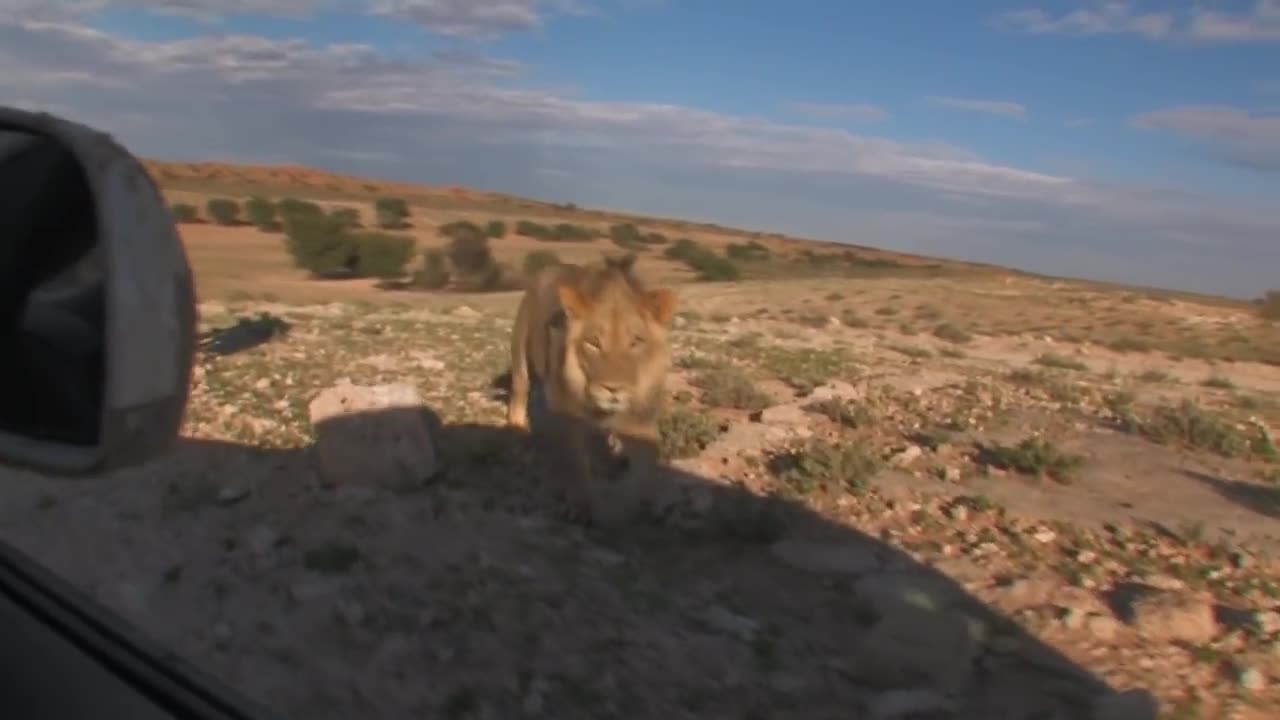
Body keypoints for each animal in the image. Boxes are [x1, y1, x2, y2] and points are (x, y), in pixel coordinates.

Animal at [506, 253, 680, 520]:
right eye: (593, 342)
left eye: (635, 342)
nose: (613, 389)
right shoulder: (567, 416)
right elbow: (575, 465)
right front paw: (580, 505)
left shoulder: (641, 421)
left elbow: (641, 474)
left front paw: (625, 506)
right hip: (521, 352)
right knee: (519, 389)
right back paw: (516, 429)